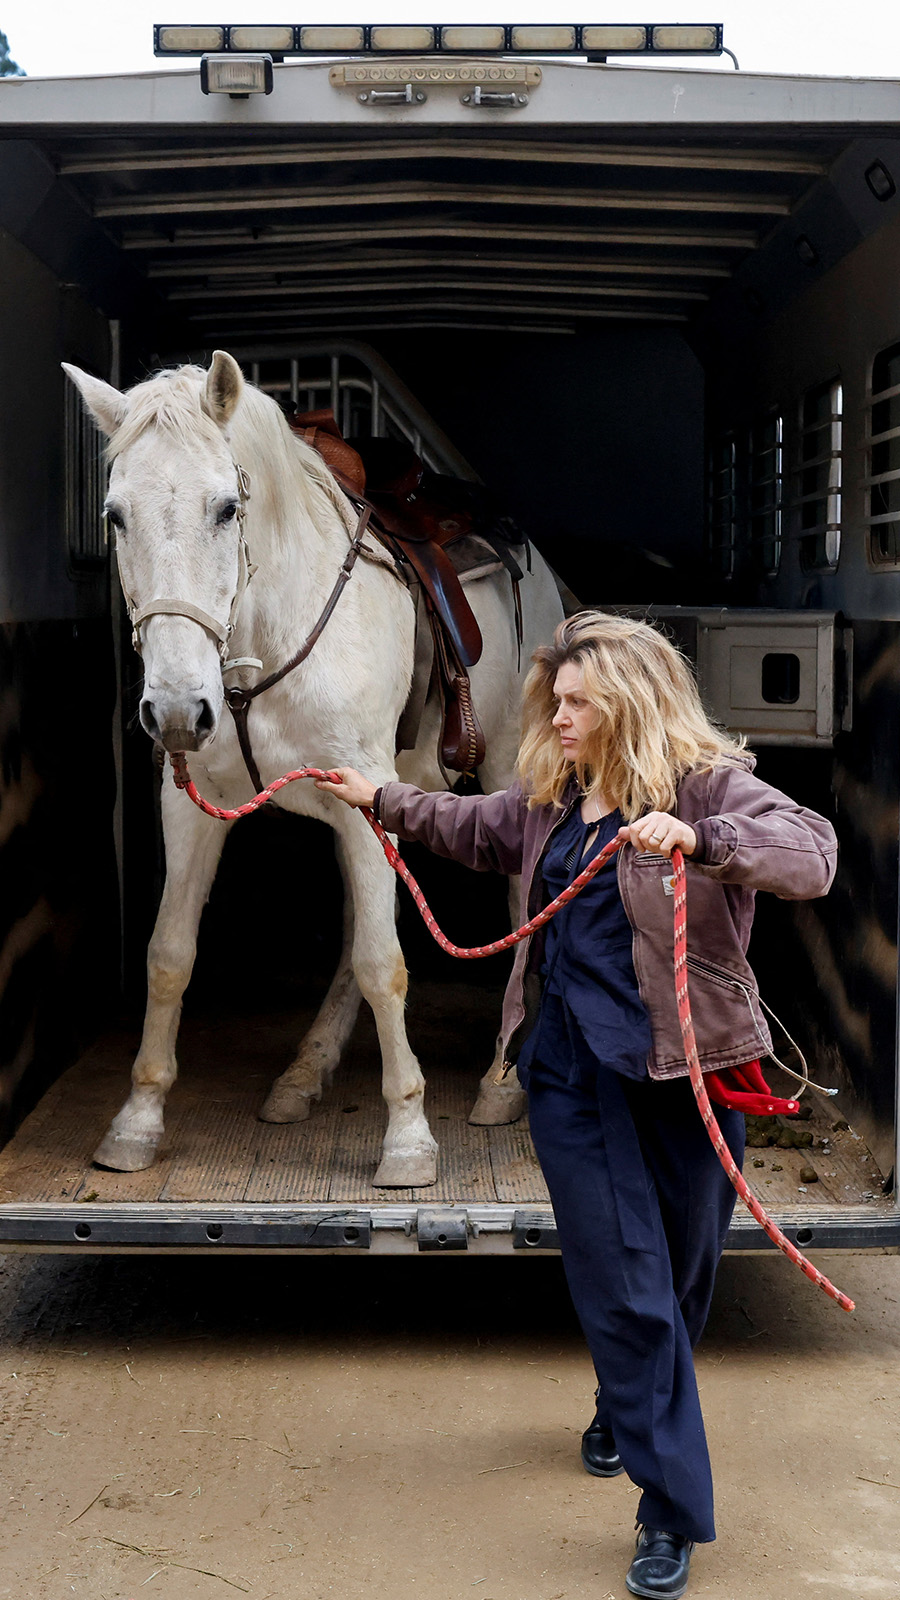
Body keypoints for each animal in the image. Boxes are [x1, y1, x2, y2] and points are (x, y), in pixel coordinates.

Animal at [64, 353, 560, 1190]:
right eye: (116, 516)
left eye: (227, 508)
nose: (176, 710)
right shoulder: (193, 806)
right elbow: (170, 954)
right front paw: (136, 1120)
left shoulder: (368, 803)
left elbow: (384, 963)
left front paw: (408, 1138)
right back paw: (306, 1068)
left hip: (505, 774)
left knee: (519, 902)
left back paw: (501, 1078)